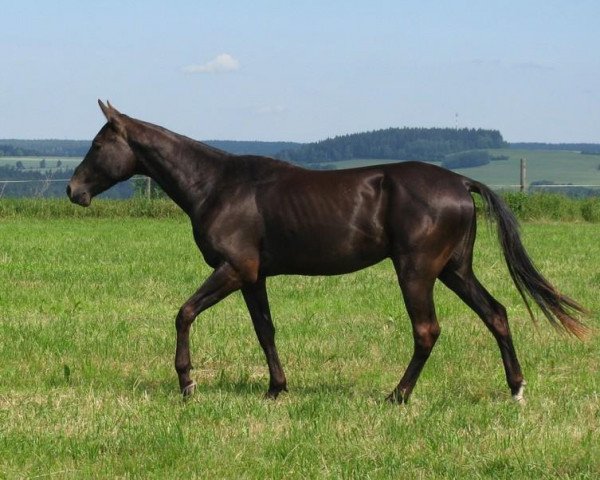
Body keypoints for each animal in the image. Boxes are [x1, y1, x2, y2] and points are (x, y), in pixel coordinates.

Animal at [67, 101, 584, 404]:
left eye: (97, 143)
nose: (74, 190)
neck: (217, 185)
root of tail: (460, 182)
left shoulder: (234, 268)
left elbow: (184, 313)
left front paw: (187, 383)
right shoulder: (254, 276)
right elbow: (265, 331)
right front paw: (276, 389)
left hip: (417, 270)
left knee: (427, 330)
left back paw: (397, 396)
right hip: (454, 269)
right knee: (496, 313)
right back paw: (515, 390)